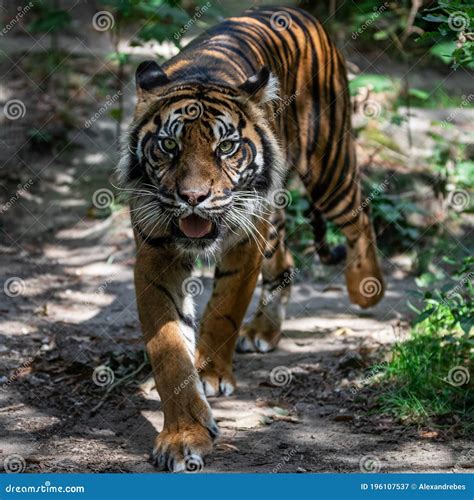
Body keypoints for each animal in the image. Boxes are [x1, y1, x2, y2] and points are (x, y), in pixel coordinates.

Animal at [118, 5, 386, 470]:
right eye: (169, 146)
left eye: (225, 147)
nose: (192, 197)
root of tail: (297, 11)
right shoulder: (156, 254)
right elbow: (168, 351)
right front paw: (184, 435)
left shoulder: (245, 241)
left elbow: (224, 308)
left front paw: (210, 373)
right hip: (275, 216)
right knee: (287, 262)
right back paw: (265, 328)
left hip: (327, 167)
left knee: (360, 214)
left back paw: (366, 288)